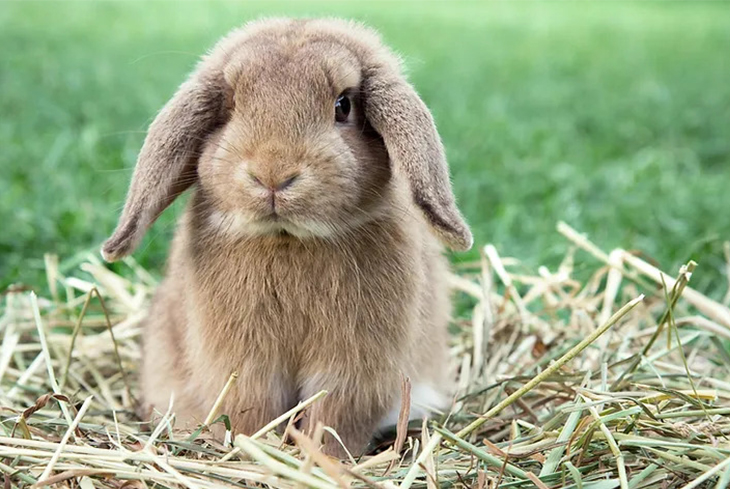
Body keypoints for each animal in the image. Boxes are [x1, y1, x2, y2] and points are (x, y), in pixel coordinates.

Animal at [102, 17, 472, 456]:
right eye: (230, 105)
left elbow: (332, 417)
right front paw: (256, 449)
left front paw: (321, 457)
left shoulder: (354, 368)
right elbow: (253, 411)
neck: (288, 239)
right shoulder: (246, 366)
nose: (273, 175)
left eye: (343, 105)